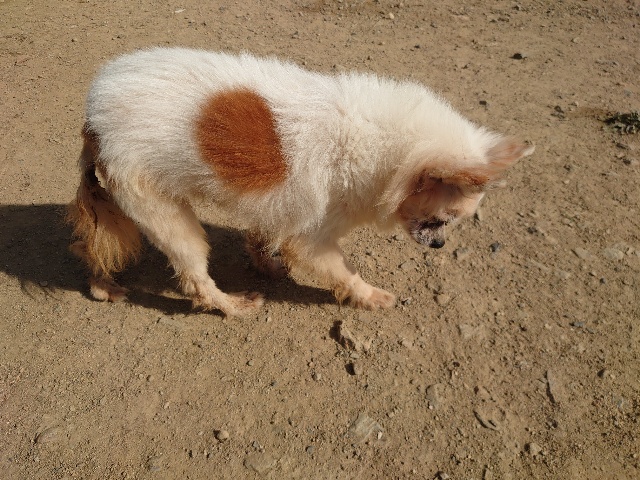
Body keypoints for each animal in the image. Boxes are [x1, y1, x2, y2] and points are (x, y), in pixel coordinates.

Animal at [67, 47, 533, 317]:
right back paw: (233, 306)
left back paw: (101, 286)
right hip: (164, 213)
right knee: (195, 278)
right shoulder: (314, 239)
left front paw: (266, 264)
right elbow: (344, 272)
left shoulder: (279, 208)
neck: (388, 148)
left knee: (94, 245)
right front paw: (371, 297)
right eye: (443, 218)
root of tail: (93, 114)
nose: (438, 246)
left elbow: (263, 235)